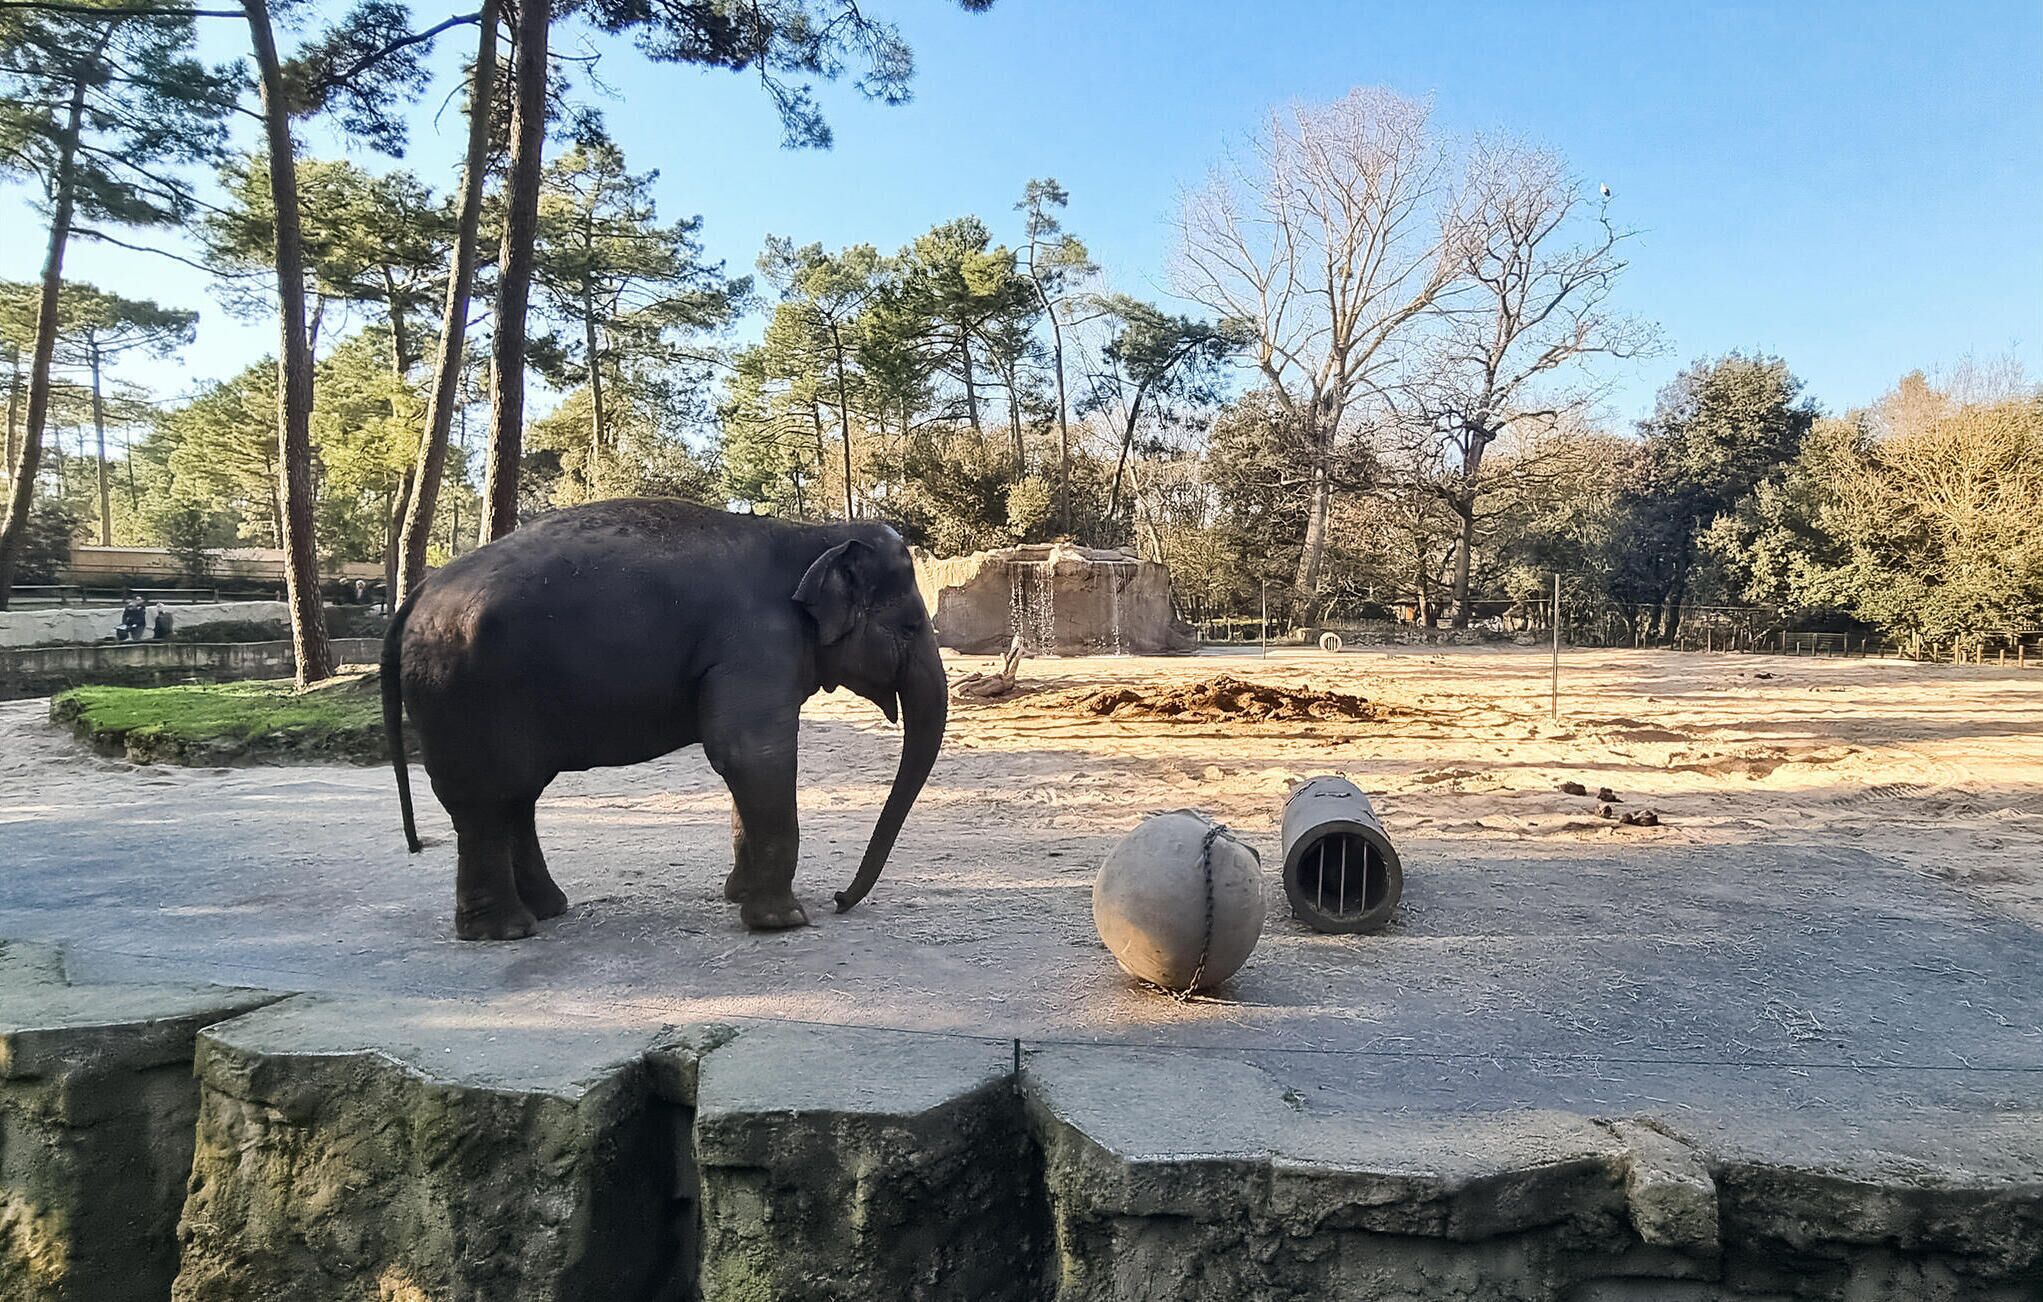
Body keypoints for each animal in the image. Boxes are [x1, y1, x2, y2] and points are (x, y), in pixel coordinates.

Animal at [379, 498, 947, 940]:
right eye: (910, 626)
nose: (839, 899)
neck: (812, 534)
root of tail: (414, 598)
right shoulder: (755, 644)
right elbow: (751, 752)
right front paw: (783, 921)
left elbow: (747, 763)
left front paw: (737, 895)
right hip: (462, 696)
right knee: (484, 802)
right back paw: (507, 930)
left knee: (515, 796)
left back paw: (548, 910)